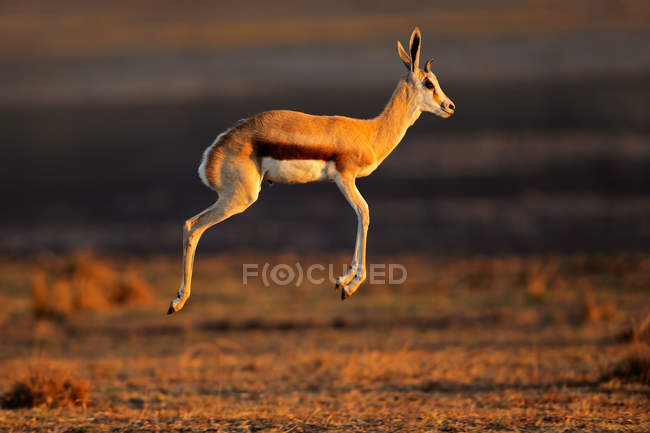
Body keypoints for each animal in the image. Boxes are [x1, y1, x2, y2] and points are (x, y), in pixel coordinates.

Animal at [167, 27, 454, 314]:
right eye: (429, 83)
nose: (450, 106)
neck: (369, 133)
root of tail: (214, 151)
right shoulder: (344, 177)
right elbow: (364, 212)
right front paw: (349, 284)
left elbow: (361, 214)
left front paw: (343, 282)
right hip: (241, 198)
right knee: (193, 226)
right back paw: (178, 301)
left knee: (191, 225)